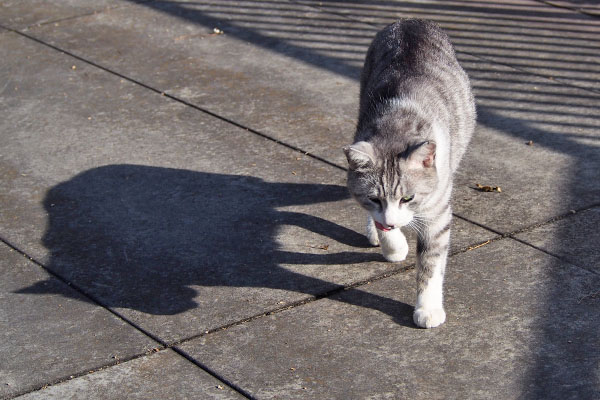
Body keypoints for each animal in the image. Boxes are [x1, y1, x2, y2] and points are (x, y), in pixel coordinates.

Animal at [344, 19, 476, 328]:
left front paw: (428, 308)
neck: (397, 124)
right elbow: (381, 224)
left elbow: (430, 264)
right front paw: (393, 246)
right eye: (374, 198)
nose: (392, 221)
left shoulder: (438, 215)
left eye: (408, 198)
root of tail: (409, 21)